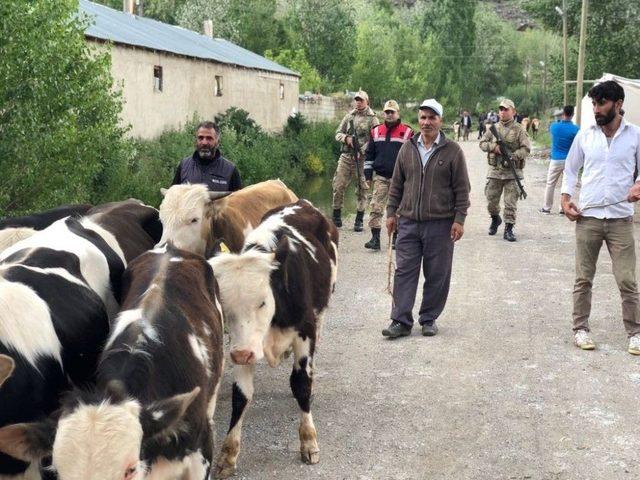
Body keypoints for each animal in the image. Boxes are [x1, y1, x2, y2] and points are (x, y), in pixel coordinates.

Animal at [210, 198, 340, 476]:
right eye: (225, 307)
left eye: (262, 302)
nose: (241, 354)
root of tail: (302, 203)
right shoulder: (242, 344)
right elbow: (241, 396)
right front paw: (228, 454)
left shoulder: (305, 332)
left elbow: (301, 383)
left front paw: (308, 442)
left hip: (321, 312)